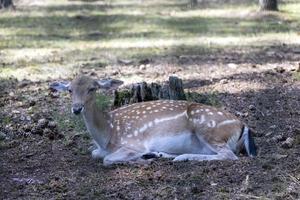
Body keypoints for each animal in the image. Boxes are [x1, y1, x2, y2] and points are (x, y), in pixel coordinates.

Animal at [50, 75, 256, 166]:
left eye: (92, 88)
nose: (77, 108)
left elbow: (107, 159)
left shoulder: (134, 142)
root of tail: (243, 125)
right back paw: (158, 154)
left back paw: (179, 157)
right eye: (69, 90)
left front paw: (138, 159)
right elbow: (95, 154)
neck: (108, 134)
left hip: (209, 128)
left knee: (229, 155)